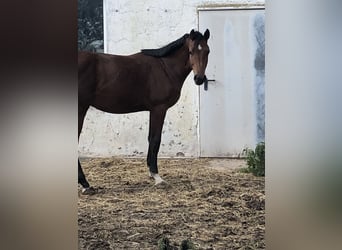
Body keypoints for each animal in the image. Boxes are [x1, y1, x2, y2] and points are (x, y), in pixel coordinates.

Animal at [78, 28, 210, 193]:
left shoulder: (152, 110)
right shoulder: (159, 109)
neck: (165, 67)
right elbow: (155, 140)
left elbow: (150, 138)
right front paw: (157, 176)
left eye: (207, 51)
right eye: (191, 51)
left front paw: (151, 173)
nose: (199, 79)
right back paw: (85, 184)